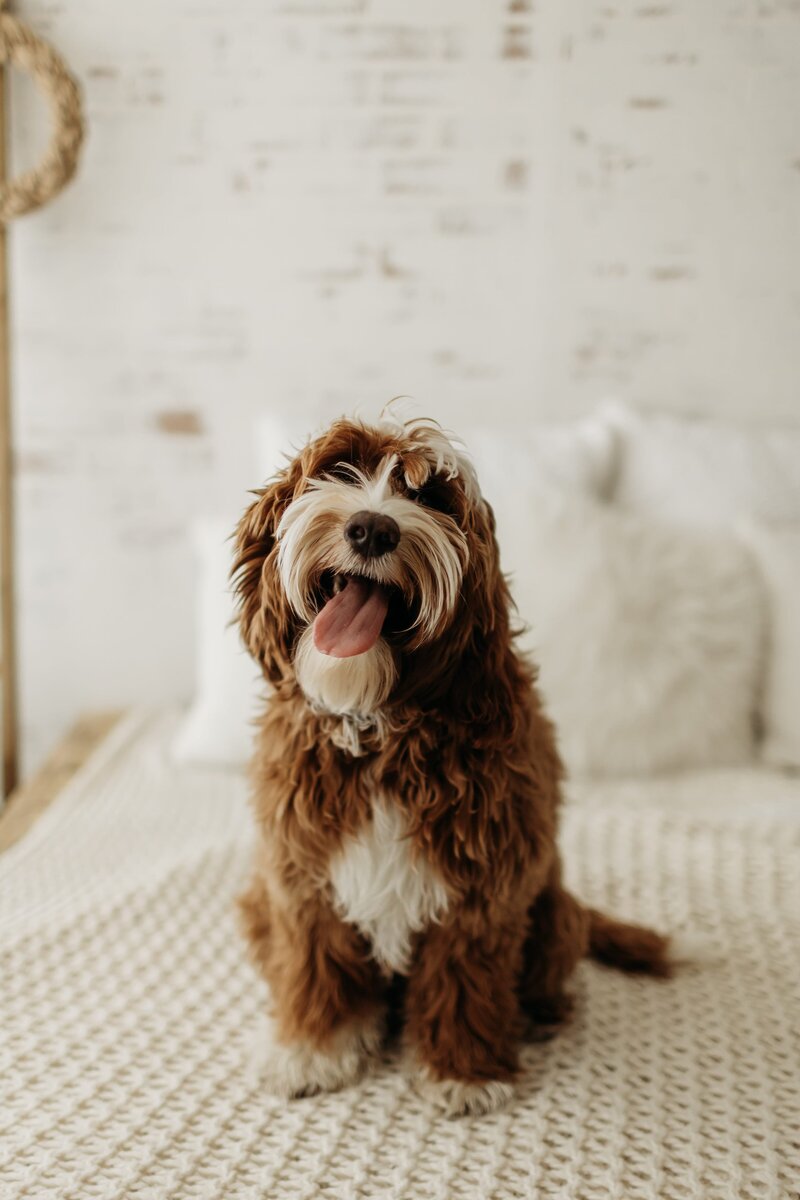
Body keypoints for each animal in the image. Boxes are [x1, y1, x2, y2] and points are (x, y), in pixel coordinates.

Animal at [232, 412, 671, 1113]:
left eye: (432, 496)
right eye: (340, 469)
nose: (372, 528)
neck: (379, 726)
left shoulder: (485, 883)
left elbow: (465, 976)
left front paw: (464, 1071)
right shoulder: (301, 873)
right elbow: (314, 965)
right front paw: (313, 1048)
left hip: (554, 917)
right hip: (254, 903)